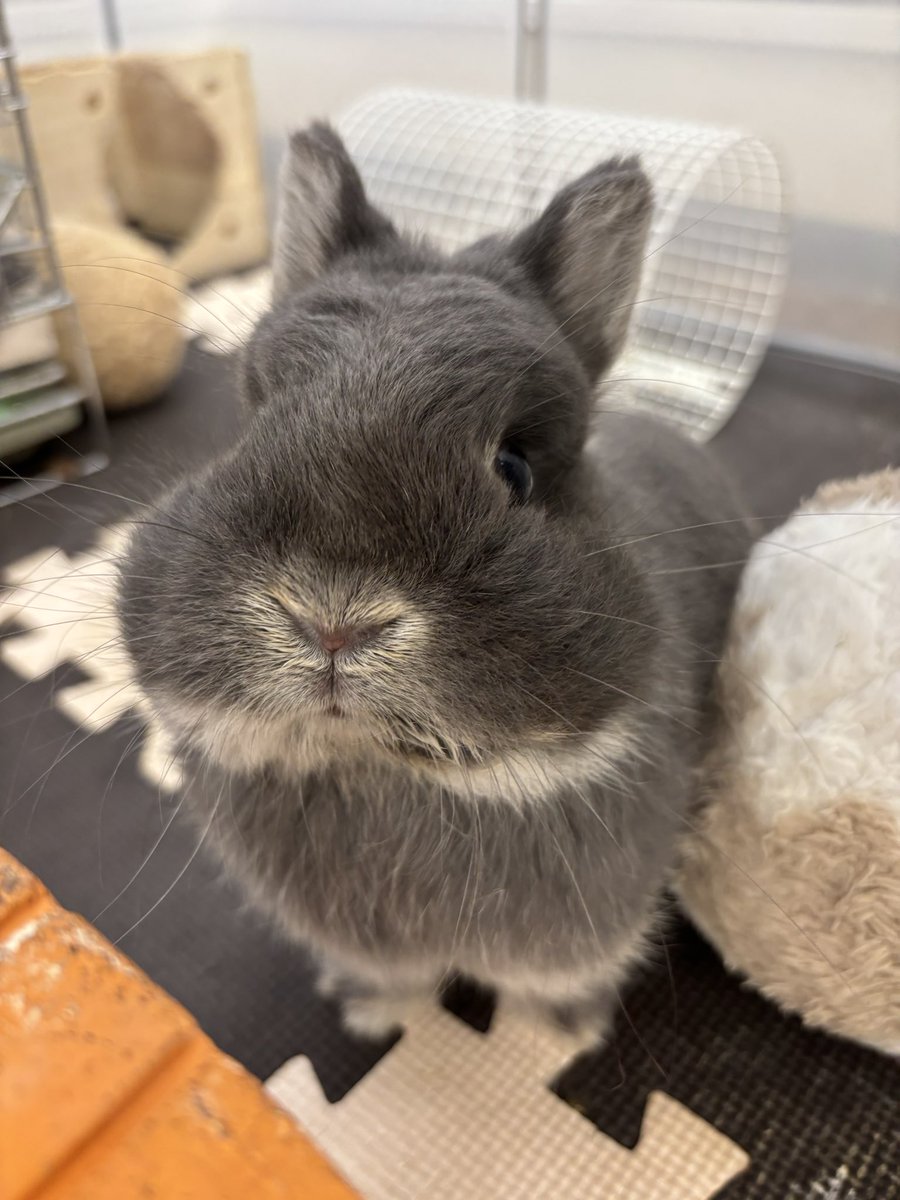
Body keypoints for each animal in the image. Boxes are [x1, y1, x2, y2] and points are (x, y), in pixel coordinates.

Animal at [118, 123, 754, 1044]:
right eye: (251, 423)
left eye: (515, 467)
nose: (334, 620)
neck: (381, 774)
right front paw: (368, 1014)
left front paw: (564, 1032)